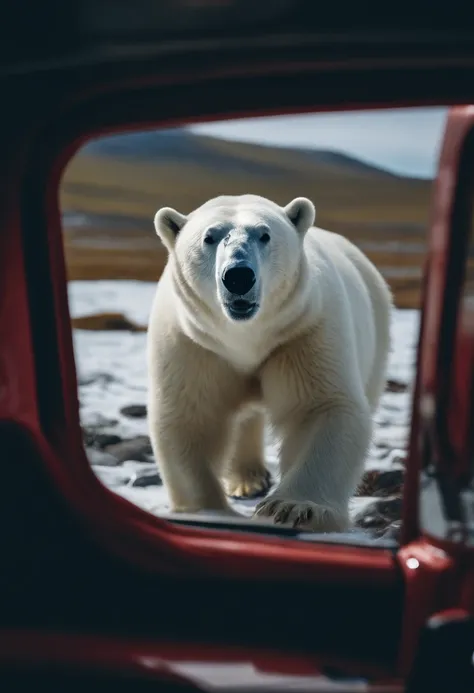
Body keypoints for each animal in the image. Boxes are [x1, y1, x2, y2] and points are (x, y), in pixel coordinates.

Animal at [148, 193, 392, 528]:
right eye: (209, 237)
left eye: (264, 235)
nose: (238, 276)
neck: (246, 338)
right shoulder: (194, 345)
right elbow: (191, 417)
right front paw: (206, 509)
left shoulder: (303, 333)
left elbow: (321, 407)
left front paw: (295, 507)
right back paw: (246, 480)